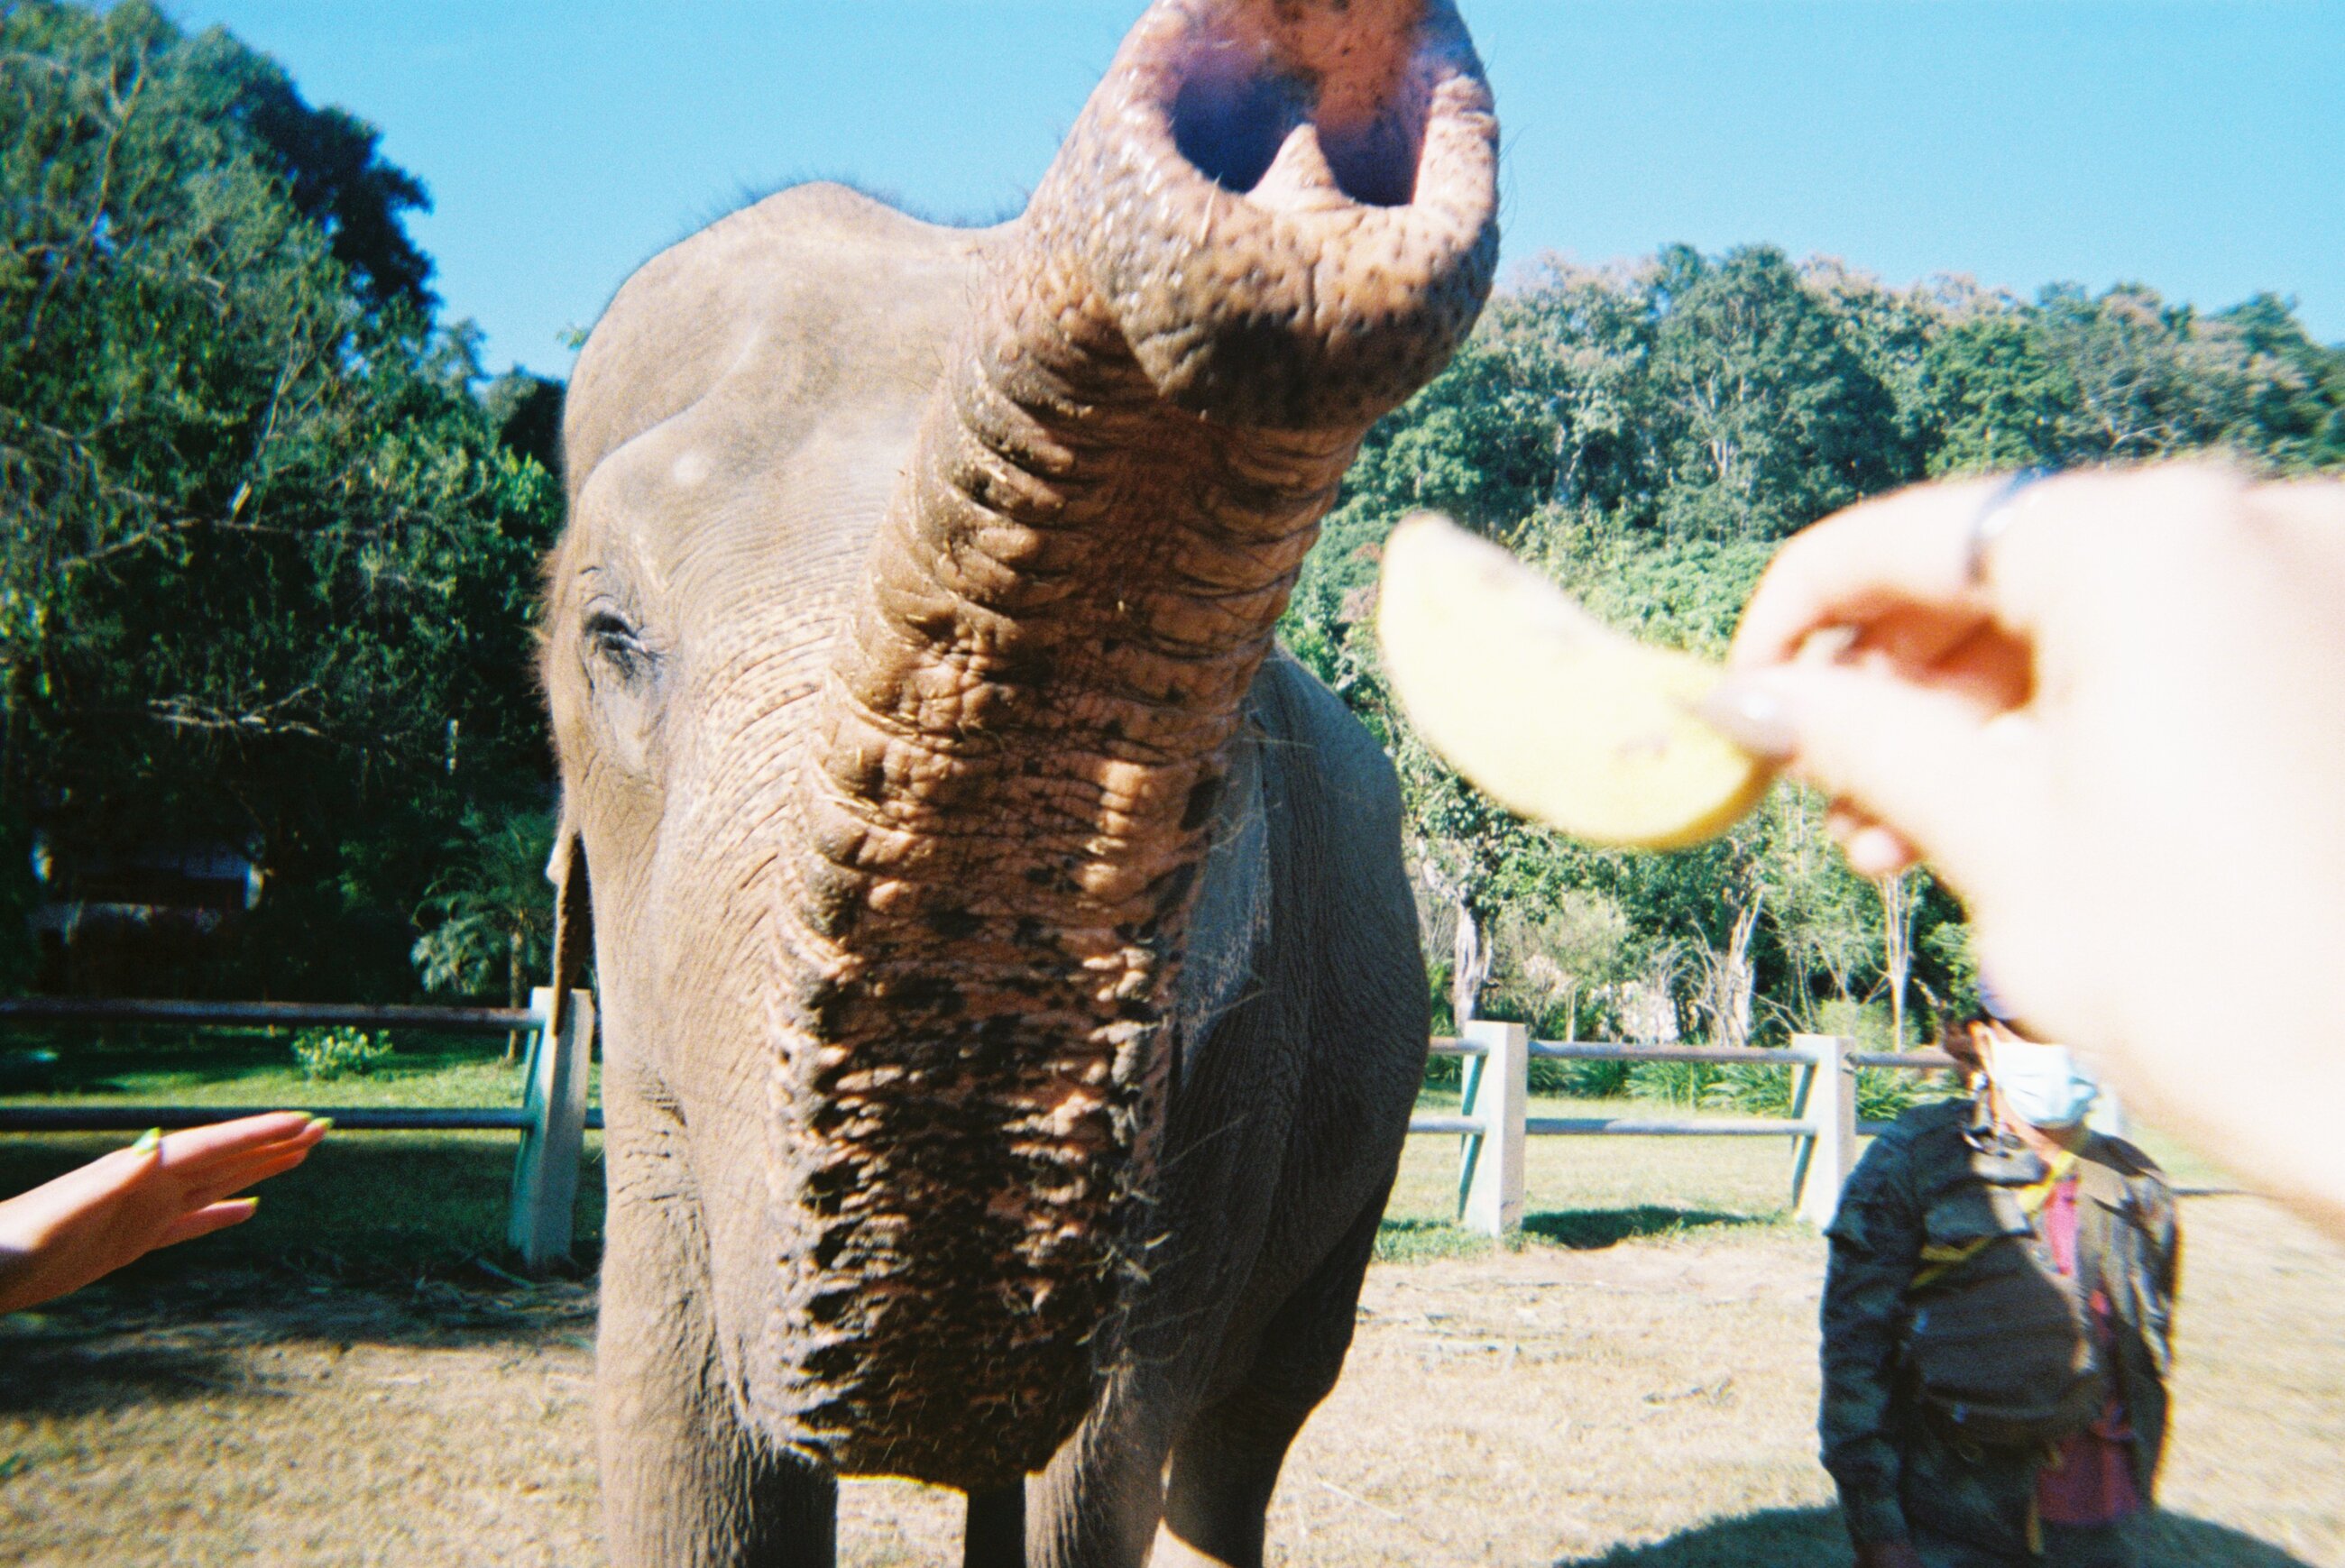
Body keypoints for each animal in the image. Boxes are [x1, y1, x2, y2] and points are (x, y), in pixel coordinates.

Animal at [541, 0, 1501, 1556]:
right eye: (609, 636)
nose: (1302, 64)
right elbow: (686, 1450)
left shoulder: (1234, 1054)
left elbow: (1096, 1473)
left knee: (1247, 1432)